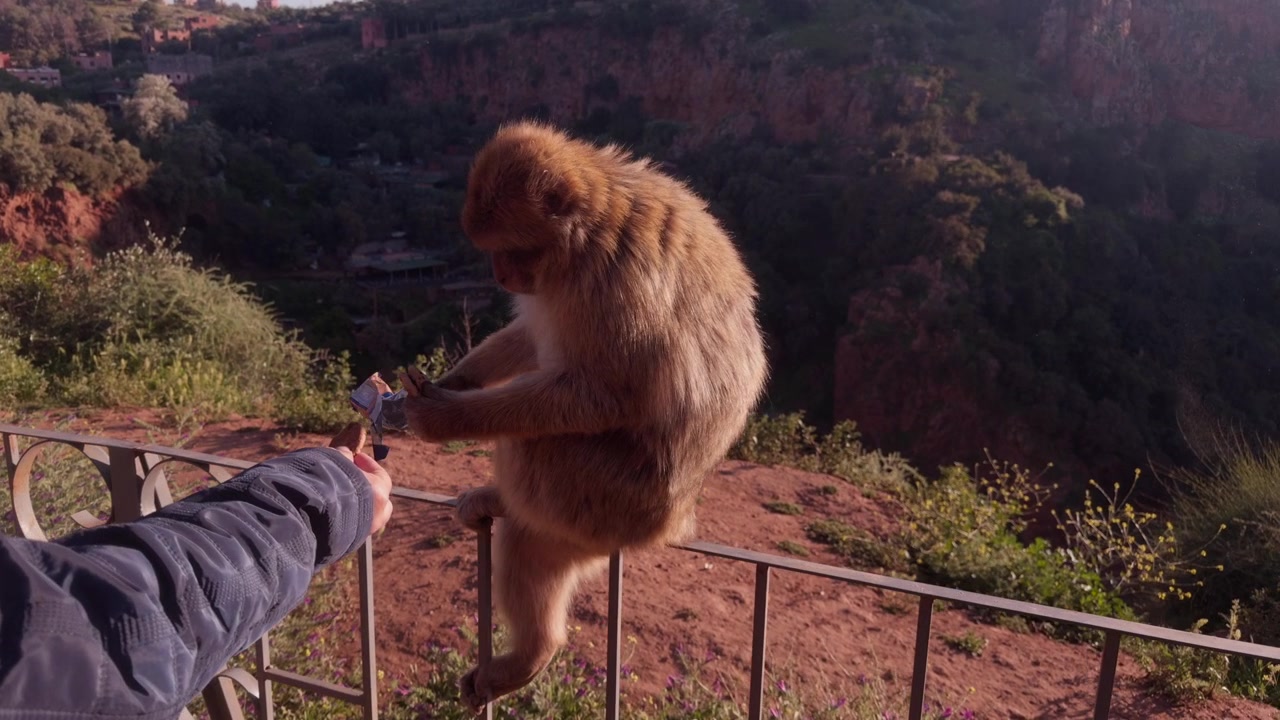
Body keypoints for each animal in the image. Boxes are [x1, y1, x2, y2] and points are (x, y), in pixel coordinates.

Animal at [396, 120, 768, 712]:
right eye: (490, 253)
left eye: (513, 249)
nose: (500, 276)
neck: (585, 230)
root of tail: (673, 519)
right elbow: (532, 337)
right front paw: (455, 383)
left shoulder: (613, 280)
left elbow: (608, 394)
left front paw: (445, 418)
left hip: (609, 499)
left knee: (529, 450)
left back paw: (532, 643)